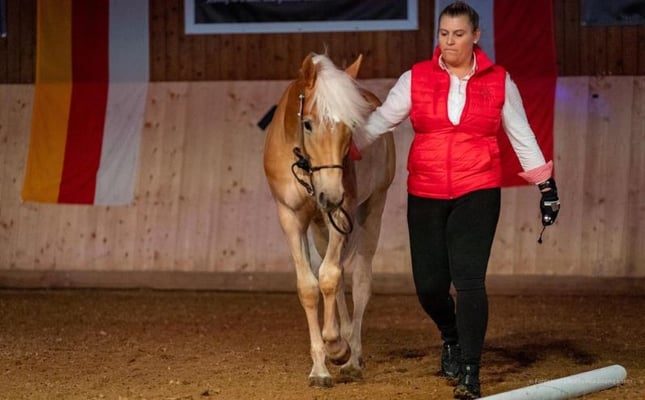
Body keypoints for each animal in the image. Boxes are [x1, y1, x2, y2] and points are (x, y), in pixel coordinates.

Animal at [263, 53, 396, 387]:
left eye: (350, 126)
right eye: (308, 124)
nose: (331, 195)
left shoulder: (341, 211)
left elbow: (329, 278)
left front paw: (336, 347)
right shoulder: (290, 217)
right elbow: (311, 286)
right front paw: (320, 367)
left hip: (372, 207)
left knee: (358, 281)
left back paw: (352, 357)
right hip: (321, 227)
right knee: (334, 276)